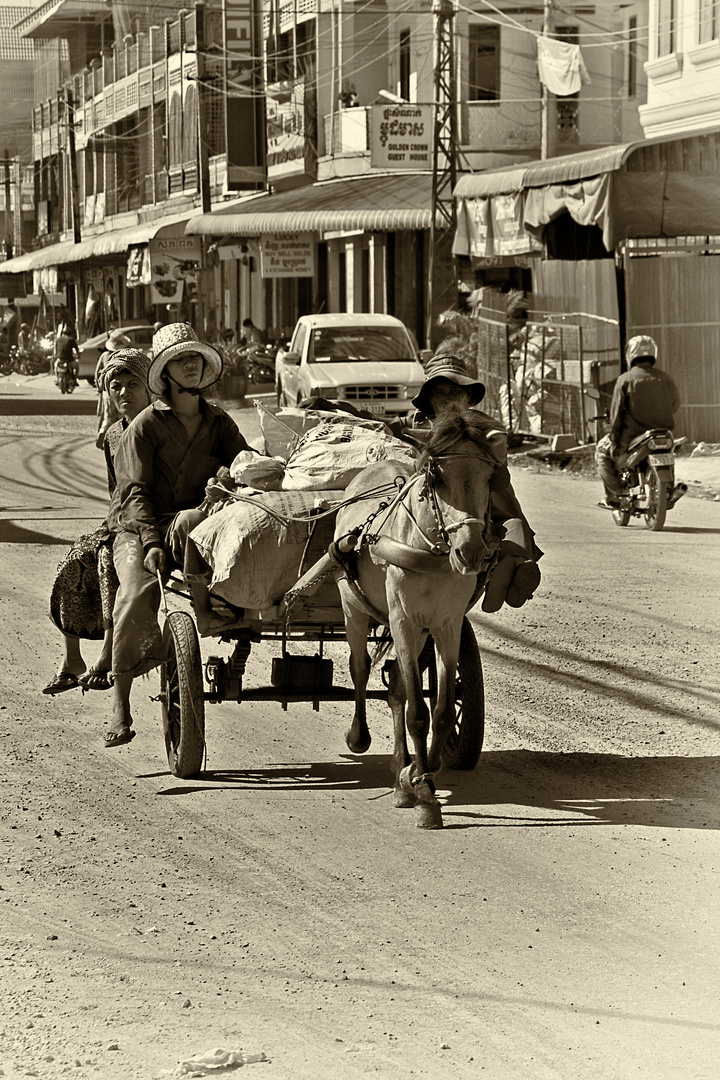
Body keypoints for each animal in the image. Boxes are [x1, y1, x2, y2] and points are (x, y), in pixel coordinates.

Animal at [334, 408, 505, 829]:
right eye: (436, 477)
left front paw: (420, 775)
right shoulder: (403, 620)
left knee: (396, 687)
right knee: (361, 667)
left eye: (489, 477)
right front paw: (425, 793)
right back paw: (360, 737)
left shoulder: (447, 625)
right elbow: (417, 713)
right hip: (353, 608)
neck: (430, 548)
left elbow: (440, 712)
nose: (470, 551)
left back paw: (402, 772)